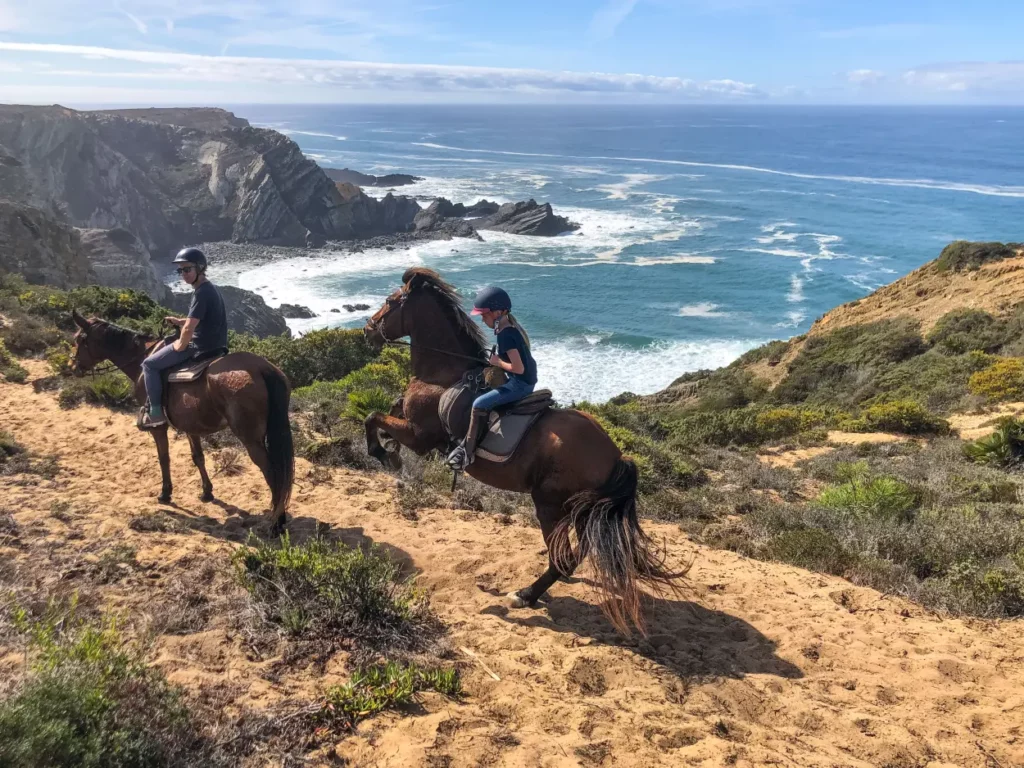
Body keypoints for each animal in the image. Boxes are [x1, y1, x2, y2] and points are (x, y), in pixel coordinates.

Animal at [69, 309, 294, 532]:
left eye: (80, 339)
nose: (72, 366)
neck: (142, 358)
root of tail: (262, 368)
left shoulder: (158, 427)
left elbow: (164, 458)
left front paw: (165, 493)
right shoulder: (191, 426)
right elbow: (198, 457)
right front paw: (207, 492)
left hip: (250, 438)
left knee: (271, 471)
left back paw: (276, 522)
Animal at [364, 268, 684, 634]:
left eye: (390, 301)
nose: (368, 330)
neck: (443, 374)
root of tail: (616, 456)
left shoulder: (419, 437)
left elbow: (373, 417)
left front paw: (383, 453)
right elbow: (387, 408)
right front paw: (387, 447)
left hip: (551, 505)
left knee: (563, 558)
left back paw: (525, 595)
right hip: (584, 511)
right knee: (577, 553)